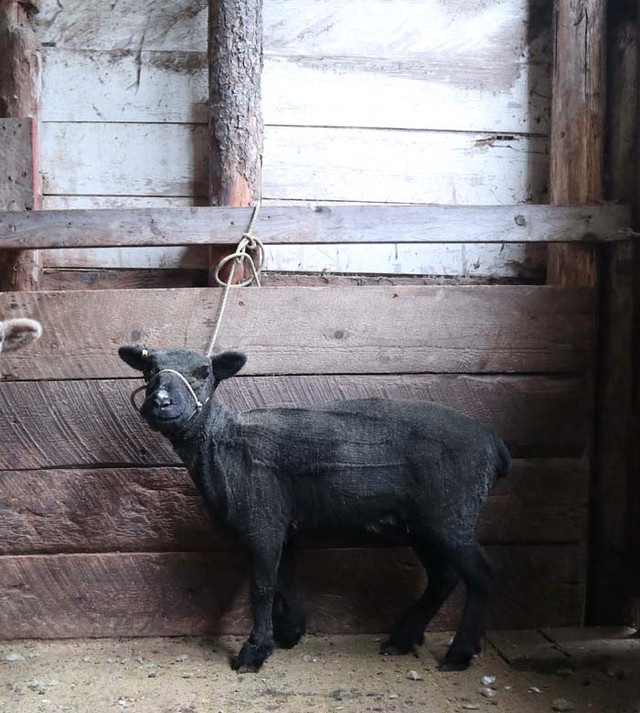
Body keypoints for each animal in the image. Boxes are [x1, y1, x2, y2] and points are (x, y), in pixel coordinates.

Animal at [119, 344, 510, 672]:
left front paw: (255, 650)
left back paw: (459, 653)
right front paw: (290, 633)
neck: (223, 443)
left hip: (452, 512)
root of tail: (495, 445)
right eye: (148, 370)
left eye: (203, 372)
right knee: (444, 577)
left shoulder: (263, 520)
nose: (160, 401)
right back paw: (402, 638)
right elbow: (284, 580)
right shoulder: (285, 525)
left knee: (482, 575)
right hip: (424, 522)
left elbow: (262, 587)